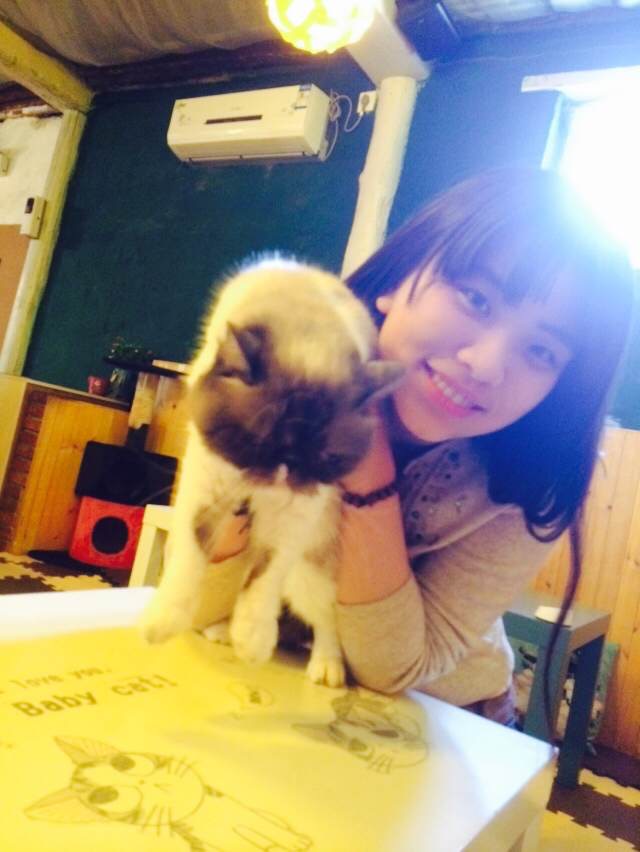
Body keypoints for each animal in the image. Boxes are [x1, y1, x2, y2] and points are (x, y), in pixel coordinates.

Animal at [139, 258, 403, 687]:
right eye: (258, 443)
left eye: (321, 458)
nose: (282, 477)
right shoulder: (208, 483)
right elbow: (190, 556)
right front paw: (162, 623)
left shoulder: (296, 514)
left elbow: (266, 577)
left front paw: (253, 643)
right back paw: (219, 632)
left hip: (309, 572)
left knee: (325, 621)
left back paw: (325, 669)